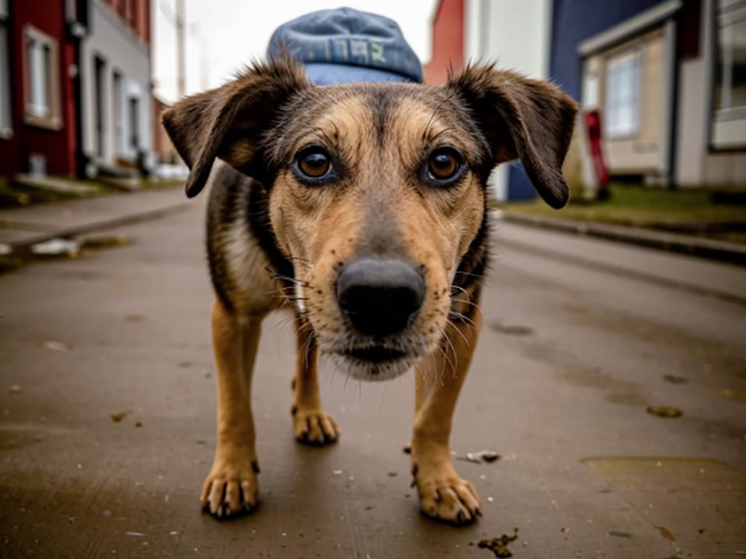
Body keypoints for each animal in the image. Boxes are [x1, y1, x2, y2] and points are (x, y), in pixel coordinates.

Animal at [163, 57, 576, 524]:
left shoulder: (461, 324)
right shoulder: (231, 315)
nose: (381, 298)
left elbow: (436, 413)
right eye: (314, 160)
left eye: (445, 162)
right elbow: (234, 404)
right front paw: (233, 474)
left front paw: (438, 480)